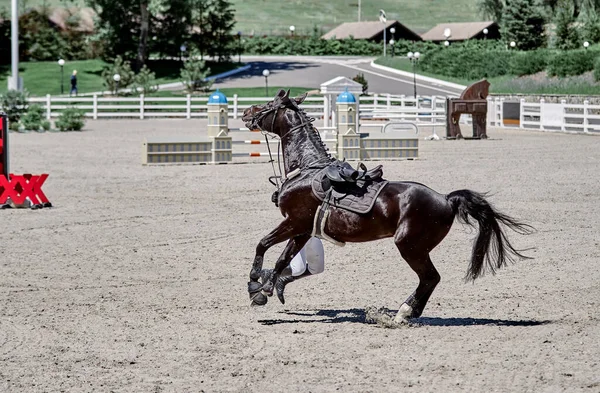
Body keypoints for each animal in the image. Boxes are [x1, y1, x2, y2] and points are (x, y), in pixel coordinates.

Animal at [241, 89, 532, 322]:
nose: (246, 112)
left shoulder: (293, 222)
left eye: (268, 104)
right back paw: (408, 313)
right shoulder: (302, 229)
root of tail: (447, 198)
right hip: (414, 247)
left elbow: (263, 244)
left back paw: (404, 312)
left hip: (410, 246)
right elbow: (282, 259)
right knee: (430, 279)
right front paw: (264, 290)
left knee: (431, 278)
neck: (307, 168)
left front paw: (255, 282)